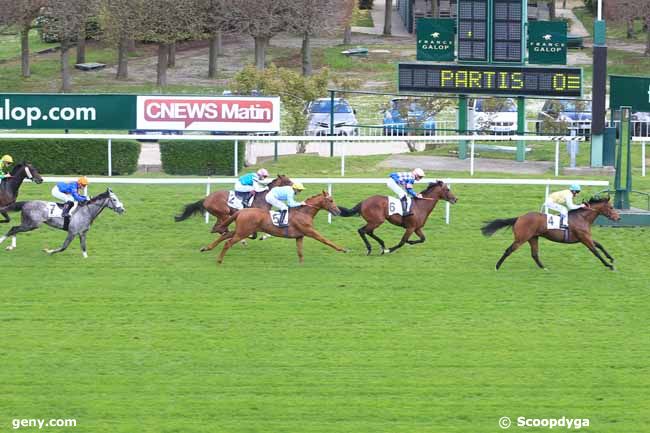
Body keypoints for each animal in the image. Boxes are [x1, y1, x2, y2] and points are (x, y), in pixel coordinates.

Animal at [199, 192, 346, 264]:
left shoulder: (299, 236)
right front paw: (342, 249)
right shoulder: (310, 231)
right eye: (331, 201)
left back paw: (206, 248)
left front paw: (301, 264)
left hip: (241, 230)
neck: (304, 212)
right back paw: (219, 260)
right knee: (228, 242)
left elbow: (300, 252)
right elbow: (325, 240)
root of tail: (241, 211)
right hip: (243, 232)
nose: (338, 211)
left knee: (225, 235)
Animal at [478, 196, 620, 270]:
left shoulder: (586, 237)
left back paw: (543, 267)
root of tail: (519, 218)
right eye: (611, 207)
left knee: (534, 254)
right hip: (521, 239)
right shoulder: (584, 238)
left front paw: (611, 258)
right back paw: (497, 266)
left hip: (533, 238)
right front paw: (608, 265)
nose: (618, 218)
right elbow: (595, 251)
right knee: (509, 250)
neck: (582, 217)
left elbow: (600, 245)